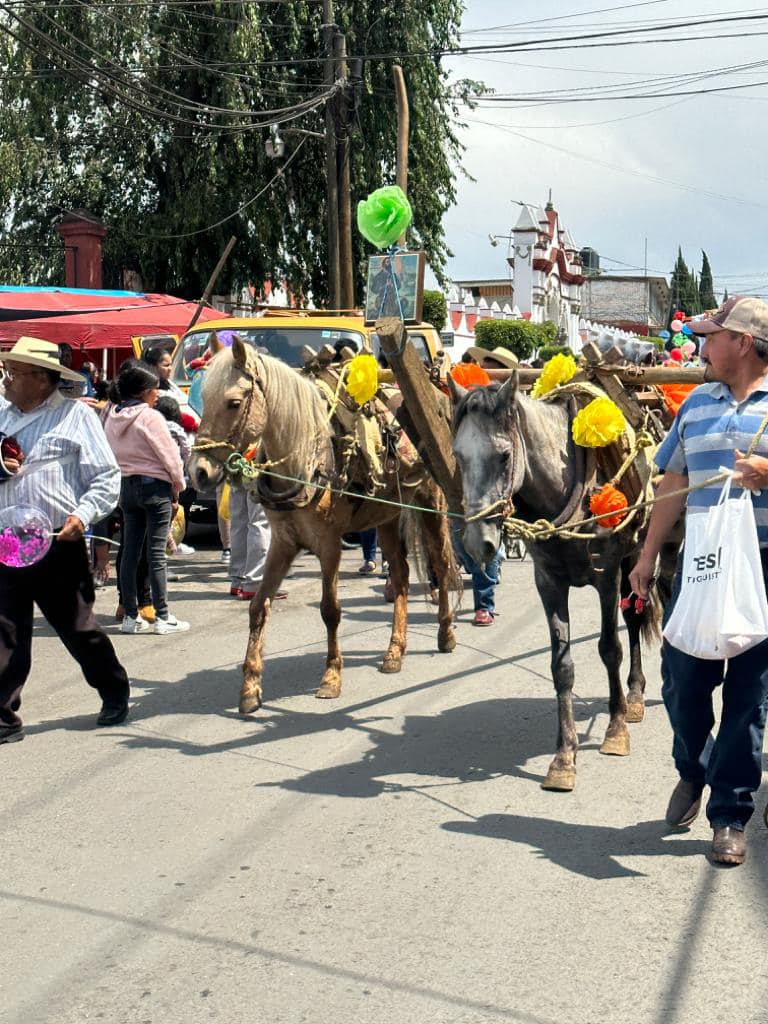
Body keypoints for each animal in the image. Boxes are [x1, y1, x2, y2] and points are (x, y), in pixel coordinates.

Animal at [189, 335, 460, 712]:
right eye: (204, 399)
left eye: (233, 403)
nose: (198, 472)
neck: (306, 455)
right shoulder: (283, 543)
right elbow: (258, 606)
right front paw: (250, 687)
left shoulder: (329, 544)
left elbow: (330, 610)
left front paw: (331, 677)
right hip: (386, 516)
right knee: (401, 576)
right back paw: (395, 650)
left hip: (432, 504)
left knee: (442, 564)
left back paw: (446, 633)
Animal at [454, 376, 675, 790]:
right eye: (458, 456)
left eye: (504, 456)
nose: (478, 543)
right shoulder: (549, 582)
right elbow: (562, 665)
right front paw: (564, 756)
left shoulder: (607, 575)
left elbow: (609, 649)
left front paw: (615, 730)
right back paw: (634, 694)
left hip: (645, 553)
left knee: (643, 616)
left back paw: (637, 697)